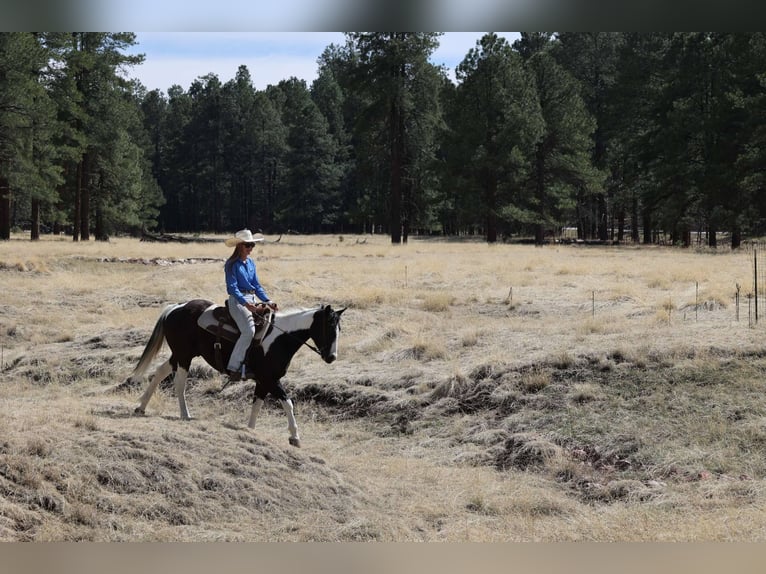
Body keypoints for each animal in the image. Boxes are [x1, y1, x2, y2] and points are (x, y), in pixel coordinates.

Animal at [126, 299, 345, 447]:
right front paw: (295, 436)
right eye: (328, 328)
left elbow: (257, 405)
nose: (331, 357)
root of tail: (175, 307)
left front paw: (250, 430)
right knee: (179, 383)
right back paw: (184, 414)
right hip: (184, 357)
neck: (279, 339)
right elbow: (288, 403)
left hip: (180, 355)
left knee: (160, 371)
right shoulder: (270, 379)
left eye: (339, 329)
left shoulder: (263, 382)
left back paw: (141, 407)